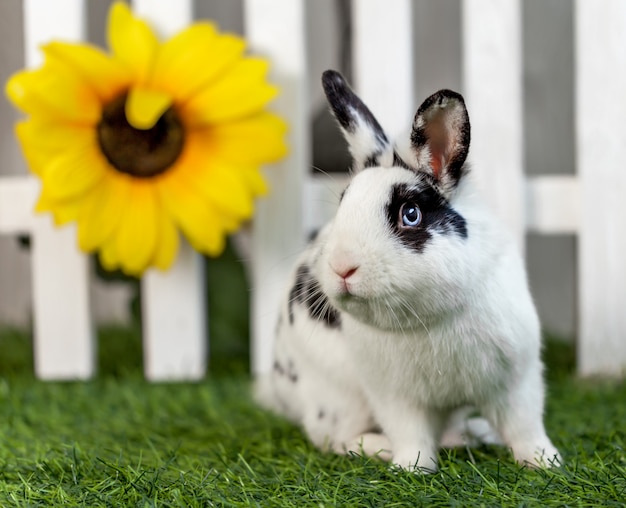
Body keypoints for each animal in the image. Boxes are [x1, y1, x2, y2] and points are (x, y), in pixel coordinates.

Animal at [255, 68, 560, 472]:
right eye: (343, 203)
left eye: (410, 214)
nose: (341, 267)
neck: (429, 318)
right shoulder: (395, 397)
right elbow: (411, 435)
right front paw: (411, 469)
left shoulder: (517, 379)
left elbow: (525, 426)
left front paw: (545, 462)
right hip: (337, 396)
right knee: (333, 437)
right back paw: (381, 448)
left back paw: (474, 435)